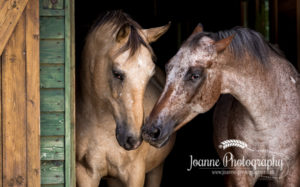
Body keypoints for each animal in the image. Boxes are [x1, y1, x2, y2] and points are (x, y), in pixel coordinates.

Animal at [76, 10, 176, 186]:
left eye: (149, 75)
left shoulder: (135, 174)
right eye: (117, 73)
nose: (133, 139)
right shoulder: (85, 174)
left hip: (156, 169)